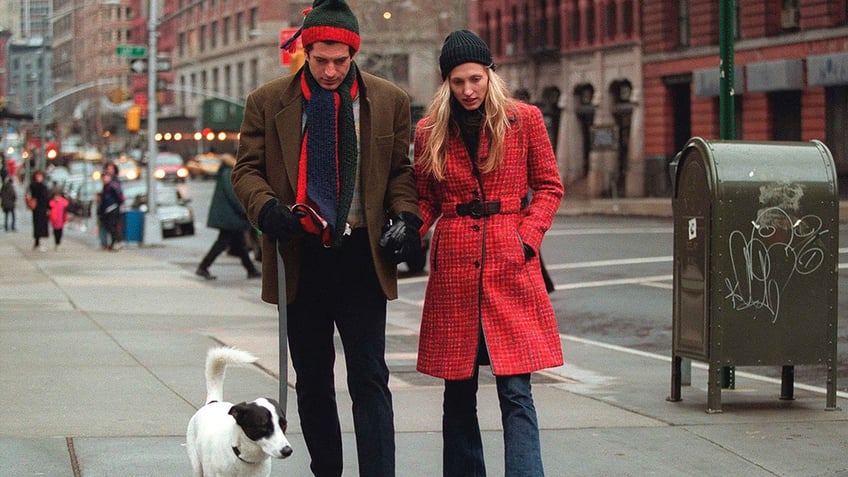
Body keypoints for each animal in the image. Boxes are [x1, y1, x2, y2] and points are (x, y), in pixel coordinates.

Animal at [186, 346, 292, 476]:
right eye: (263, 425)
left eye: (284, 424)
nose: (287, 450)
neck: (246, 458)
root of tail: (213, 402)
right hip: (196, 465)